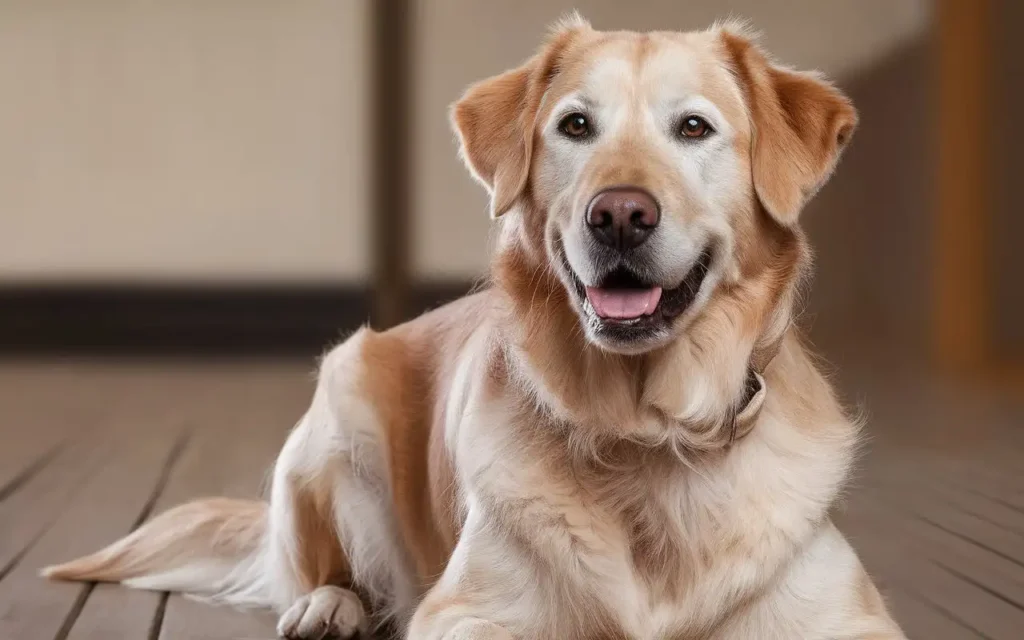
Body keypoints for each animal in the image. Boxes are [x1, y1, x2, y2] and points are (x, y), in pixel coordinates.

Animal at [39, 14, 905, 638]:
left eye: (694, 128)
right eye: (575, 126)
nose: (618, 215)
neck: (648, 435)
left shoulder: (849, 615)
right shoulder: (467, 613)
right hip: (339, 409)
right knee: (324, 571)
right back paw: (329, 608)